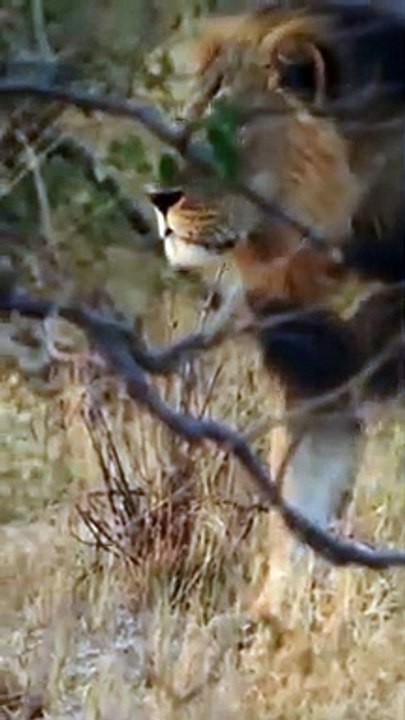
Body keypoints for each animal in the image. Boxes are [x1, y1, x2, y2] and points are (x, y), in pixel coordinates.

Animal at [147, 3, 405, 617]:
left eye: (234, 126)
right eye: (188, 118)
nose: (157, 198)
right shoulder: (319, 379)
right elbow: (297, 522)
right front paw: (273, 622)